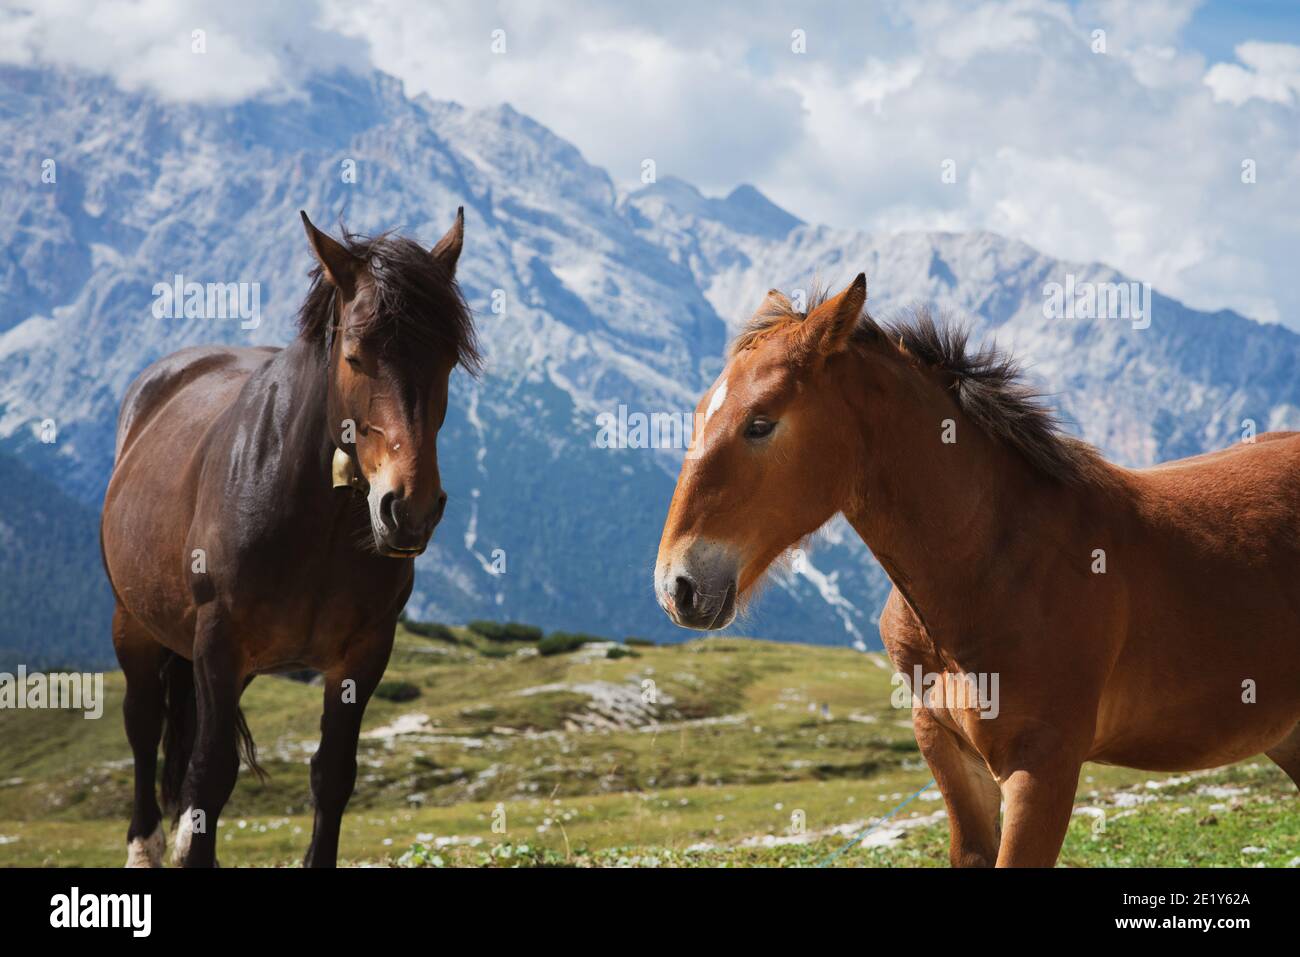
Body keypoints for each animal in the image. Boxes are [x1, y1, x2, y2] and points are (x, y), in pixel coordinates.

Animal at [100, 209, 479, 867]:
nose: (409, 510)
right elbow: (210, 774)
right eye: (355, 355)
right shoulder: (219, 641)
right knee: (144, 728)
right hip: (136, 625)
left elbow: (333, 775)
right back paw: (145, 848)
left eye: (448, 358)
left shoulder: (363, 653)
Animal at [654, 274, 1300, 866]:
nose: (676, 587)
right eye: (698, 414)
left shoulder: (1043, 766)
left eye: (760, 423)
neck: (992, 568)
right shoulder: (947, 750)